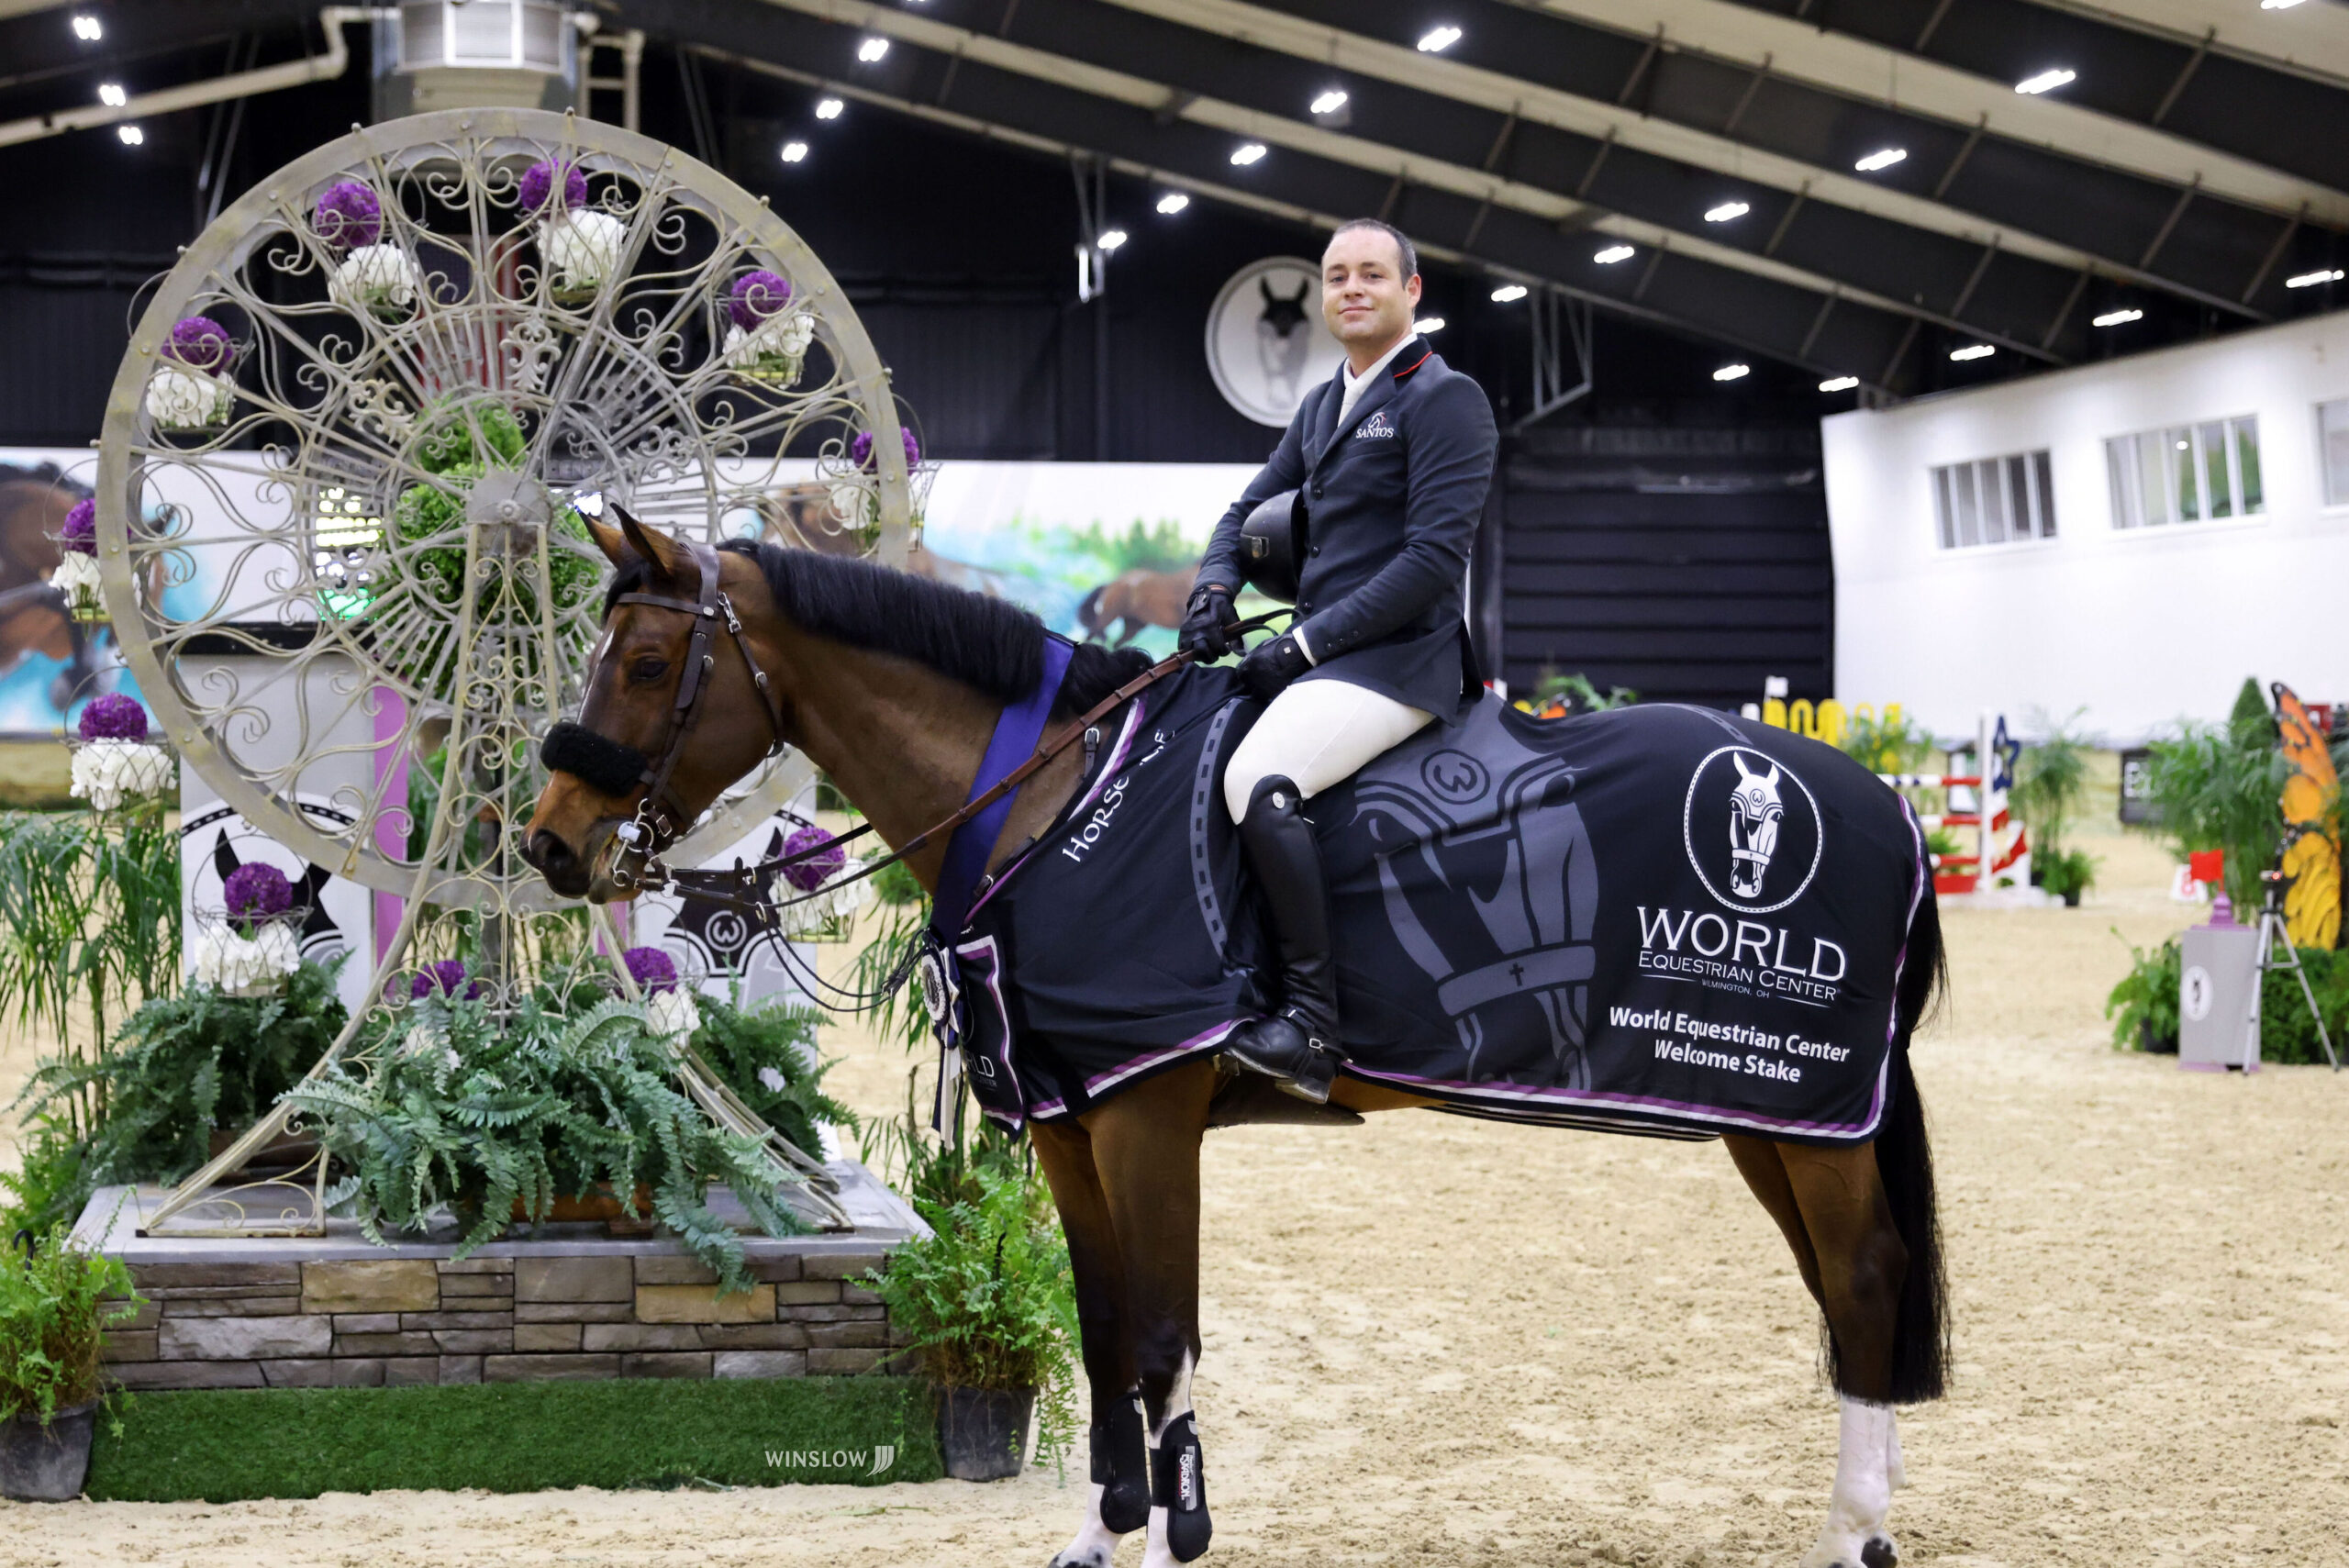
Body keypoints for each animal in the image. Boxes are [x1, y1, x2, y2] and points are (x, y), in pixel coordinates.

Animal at [529, 516, 1944, 1568]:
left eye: (645, 663)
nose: (550, 842)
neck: (1050, 801)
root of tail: (1887, 804)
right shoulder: (1070, 1120)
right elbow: (1105, 1329)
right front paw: (1101, 1535)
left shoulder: (1147, 1111)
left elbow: (1164, 1336)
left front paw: (1177, 1533)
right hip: (1776, 1118)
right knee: (1845, 1290)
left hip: (1807, 1113)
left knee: (1864, 1275)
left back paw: (1855, 1534)